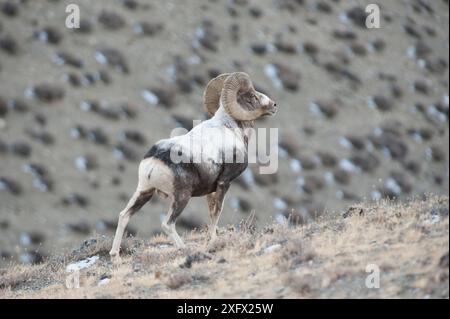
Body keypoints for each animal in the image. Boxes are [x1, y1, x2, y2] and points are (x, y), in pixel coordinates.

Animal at [110, 72, 276, 262]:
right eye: (253, 96)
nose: (274, 105)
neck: (231, 128)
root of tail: (155, 161)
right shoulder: (224, 183)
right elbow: (216, 213)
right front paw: (212, 242)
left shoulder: (210, 190)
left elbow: (211, 213)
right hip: (182, 197)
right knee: (167, 224)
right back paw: (184, 249)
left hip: (144, 191)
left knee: (124, 215)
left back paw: (115, 256)